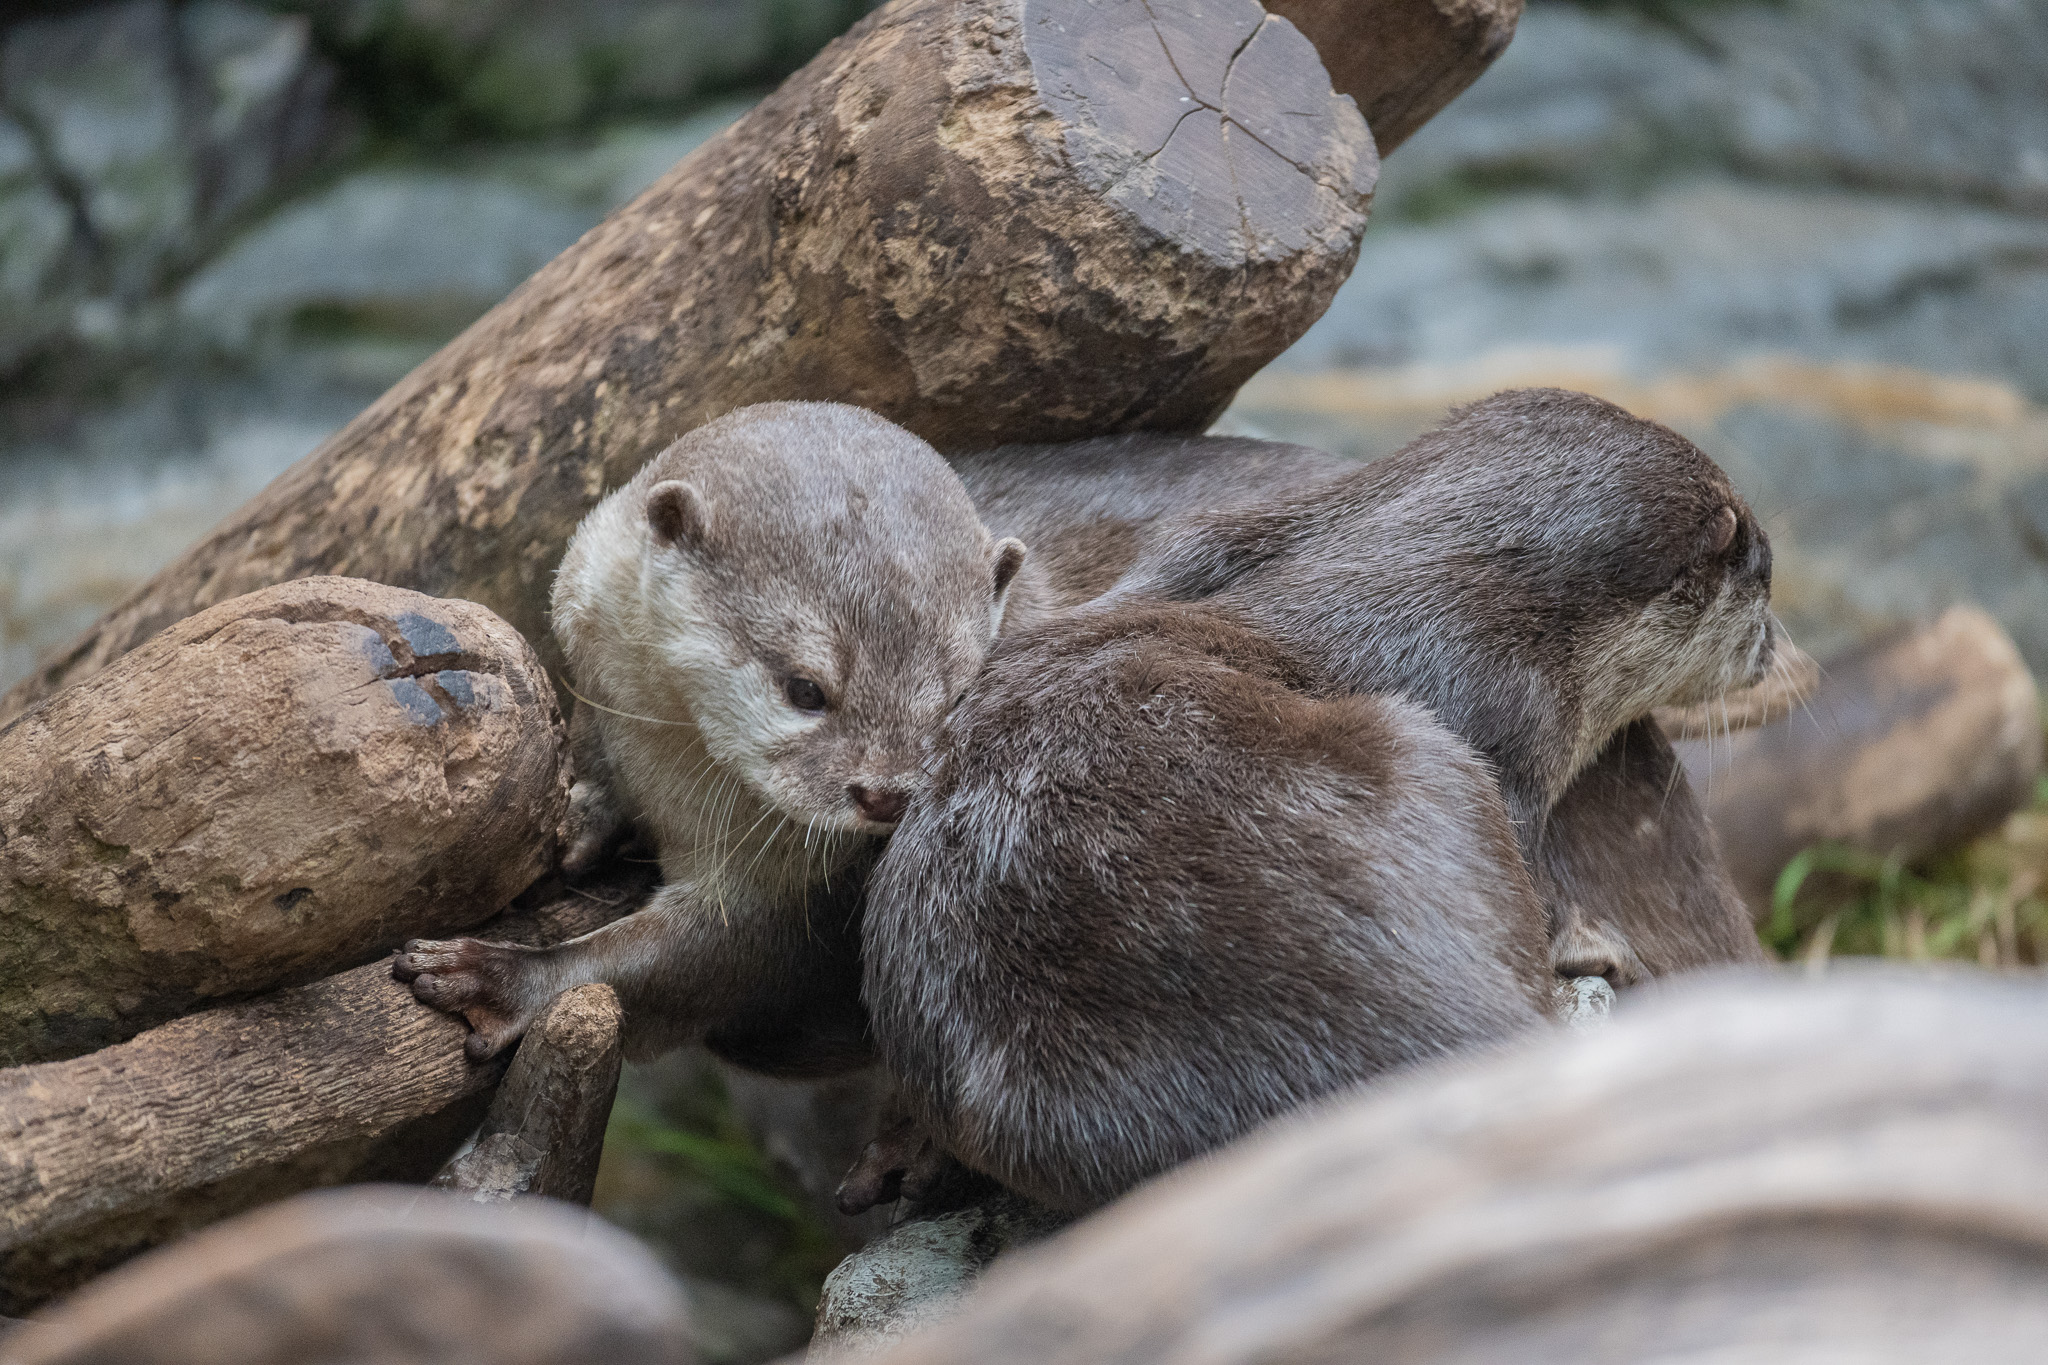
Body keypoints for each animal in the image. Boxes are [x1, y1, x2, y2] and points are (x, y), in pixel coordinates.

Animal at [393, 402, 1025, 1068]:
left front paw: (495, 976)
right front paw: (579, 821)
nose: (886, 797)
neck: (669, 768)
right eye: (805, 689)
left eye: (959, 699)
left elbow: (687, 961)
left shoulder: (778, 891)